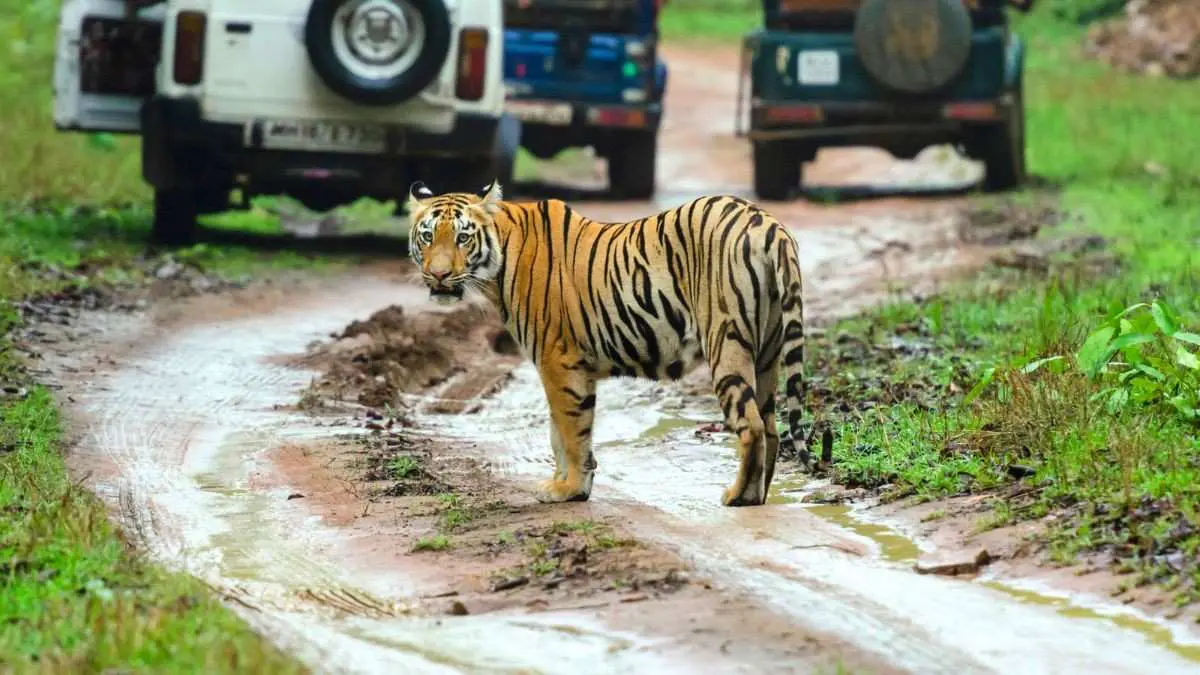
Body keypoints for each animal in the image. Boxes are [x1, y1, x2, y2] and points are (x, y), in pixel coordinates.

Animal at [406, 180, 814, 507]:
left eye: (462, 237)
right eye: (427, 236)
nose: (438, 275)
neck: (498, 265)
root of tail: (767, 224)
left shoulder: (558, 361)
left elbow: (571, 432)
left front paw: (568, 489)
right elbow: (559, 432)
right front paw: (567, 484)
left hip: (726, 342)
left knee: (751, 424)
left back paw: (739, 496)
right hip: (767, 353)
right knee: (771, 426)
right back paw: (759, 494)